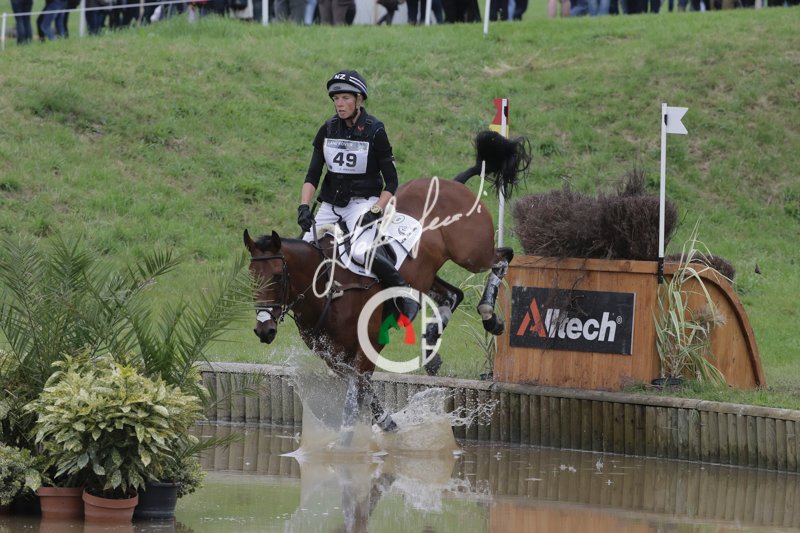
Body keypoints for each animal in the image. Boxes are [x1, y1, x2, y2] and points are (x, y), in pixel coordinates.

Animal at [244, 130, 531, 435]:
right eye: (251, 278)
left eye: (277, 276)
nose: (264, 330)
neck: (327, 290)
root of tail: (451, 183)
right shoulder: (333, 357)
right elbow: (362, 389)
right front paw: (383, 422)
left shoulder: (365, 348)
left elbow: (359, 390)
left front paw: (368, 429)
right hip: (426, 274)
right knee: (453, 294)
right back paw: (431, 343)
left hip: (472, 254)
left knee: (502, 258)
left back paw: (490, 317)